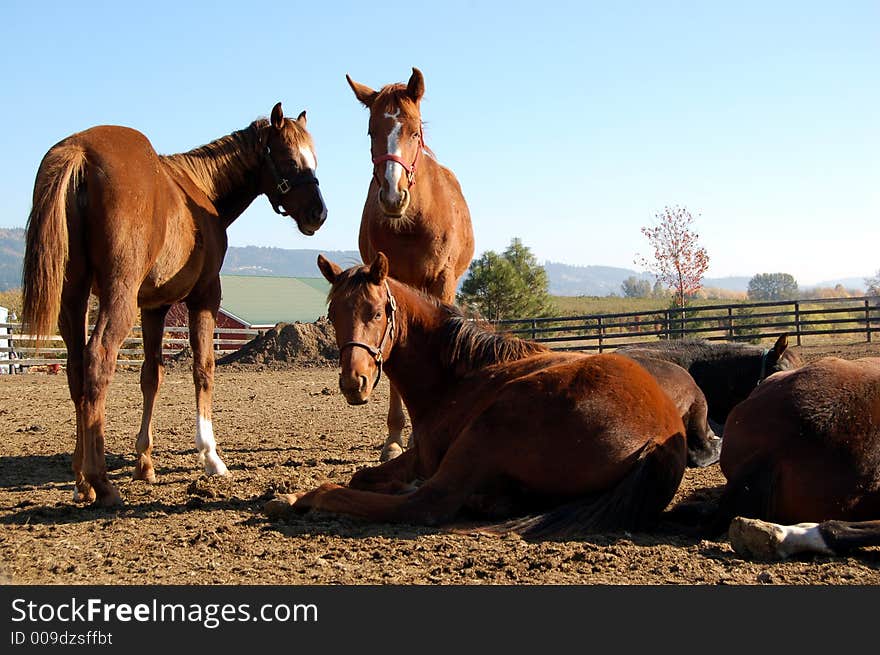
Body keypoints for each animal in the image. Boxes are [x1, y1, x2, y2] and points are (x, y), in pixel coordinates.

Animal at [23, 105, 326, 510]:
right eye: (290, 159)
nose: (318, 213)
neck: (201, 189)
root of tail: (81, 152)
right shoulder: (205, 297)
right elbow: (204, 369)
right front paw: (210, 456)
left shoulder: (154, 307)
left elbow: (152, 377)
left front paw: (145, 463)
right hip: (116, 297)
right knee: (97, 361)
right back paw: (101, 482)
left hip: (73, 297)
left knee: (76, 372)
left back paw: (81, 480)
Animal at [264, 254, 692, 540]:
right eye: (334, 314)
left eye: (376, 313)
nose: (354, 382)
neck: (459, 373)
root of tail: (662, 434)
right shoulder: (418, 456)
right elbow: (363, 474)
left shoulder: (430, 456)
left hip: (488, 426)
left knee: (425, 504)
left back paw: (299, 497)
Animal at [344, 68, 474, 462]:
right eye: (372, 131)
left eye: (414, 130)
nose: (392, 194)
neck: (413, 221)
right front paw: (394, 437)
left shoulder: (442, 283)